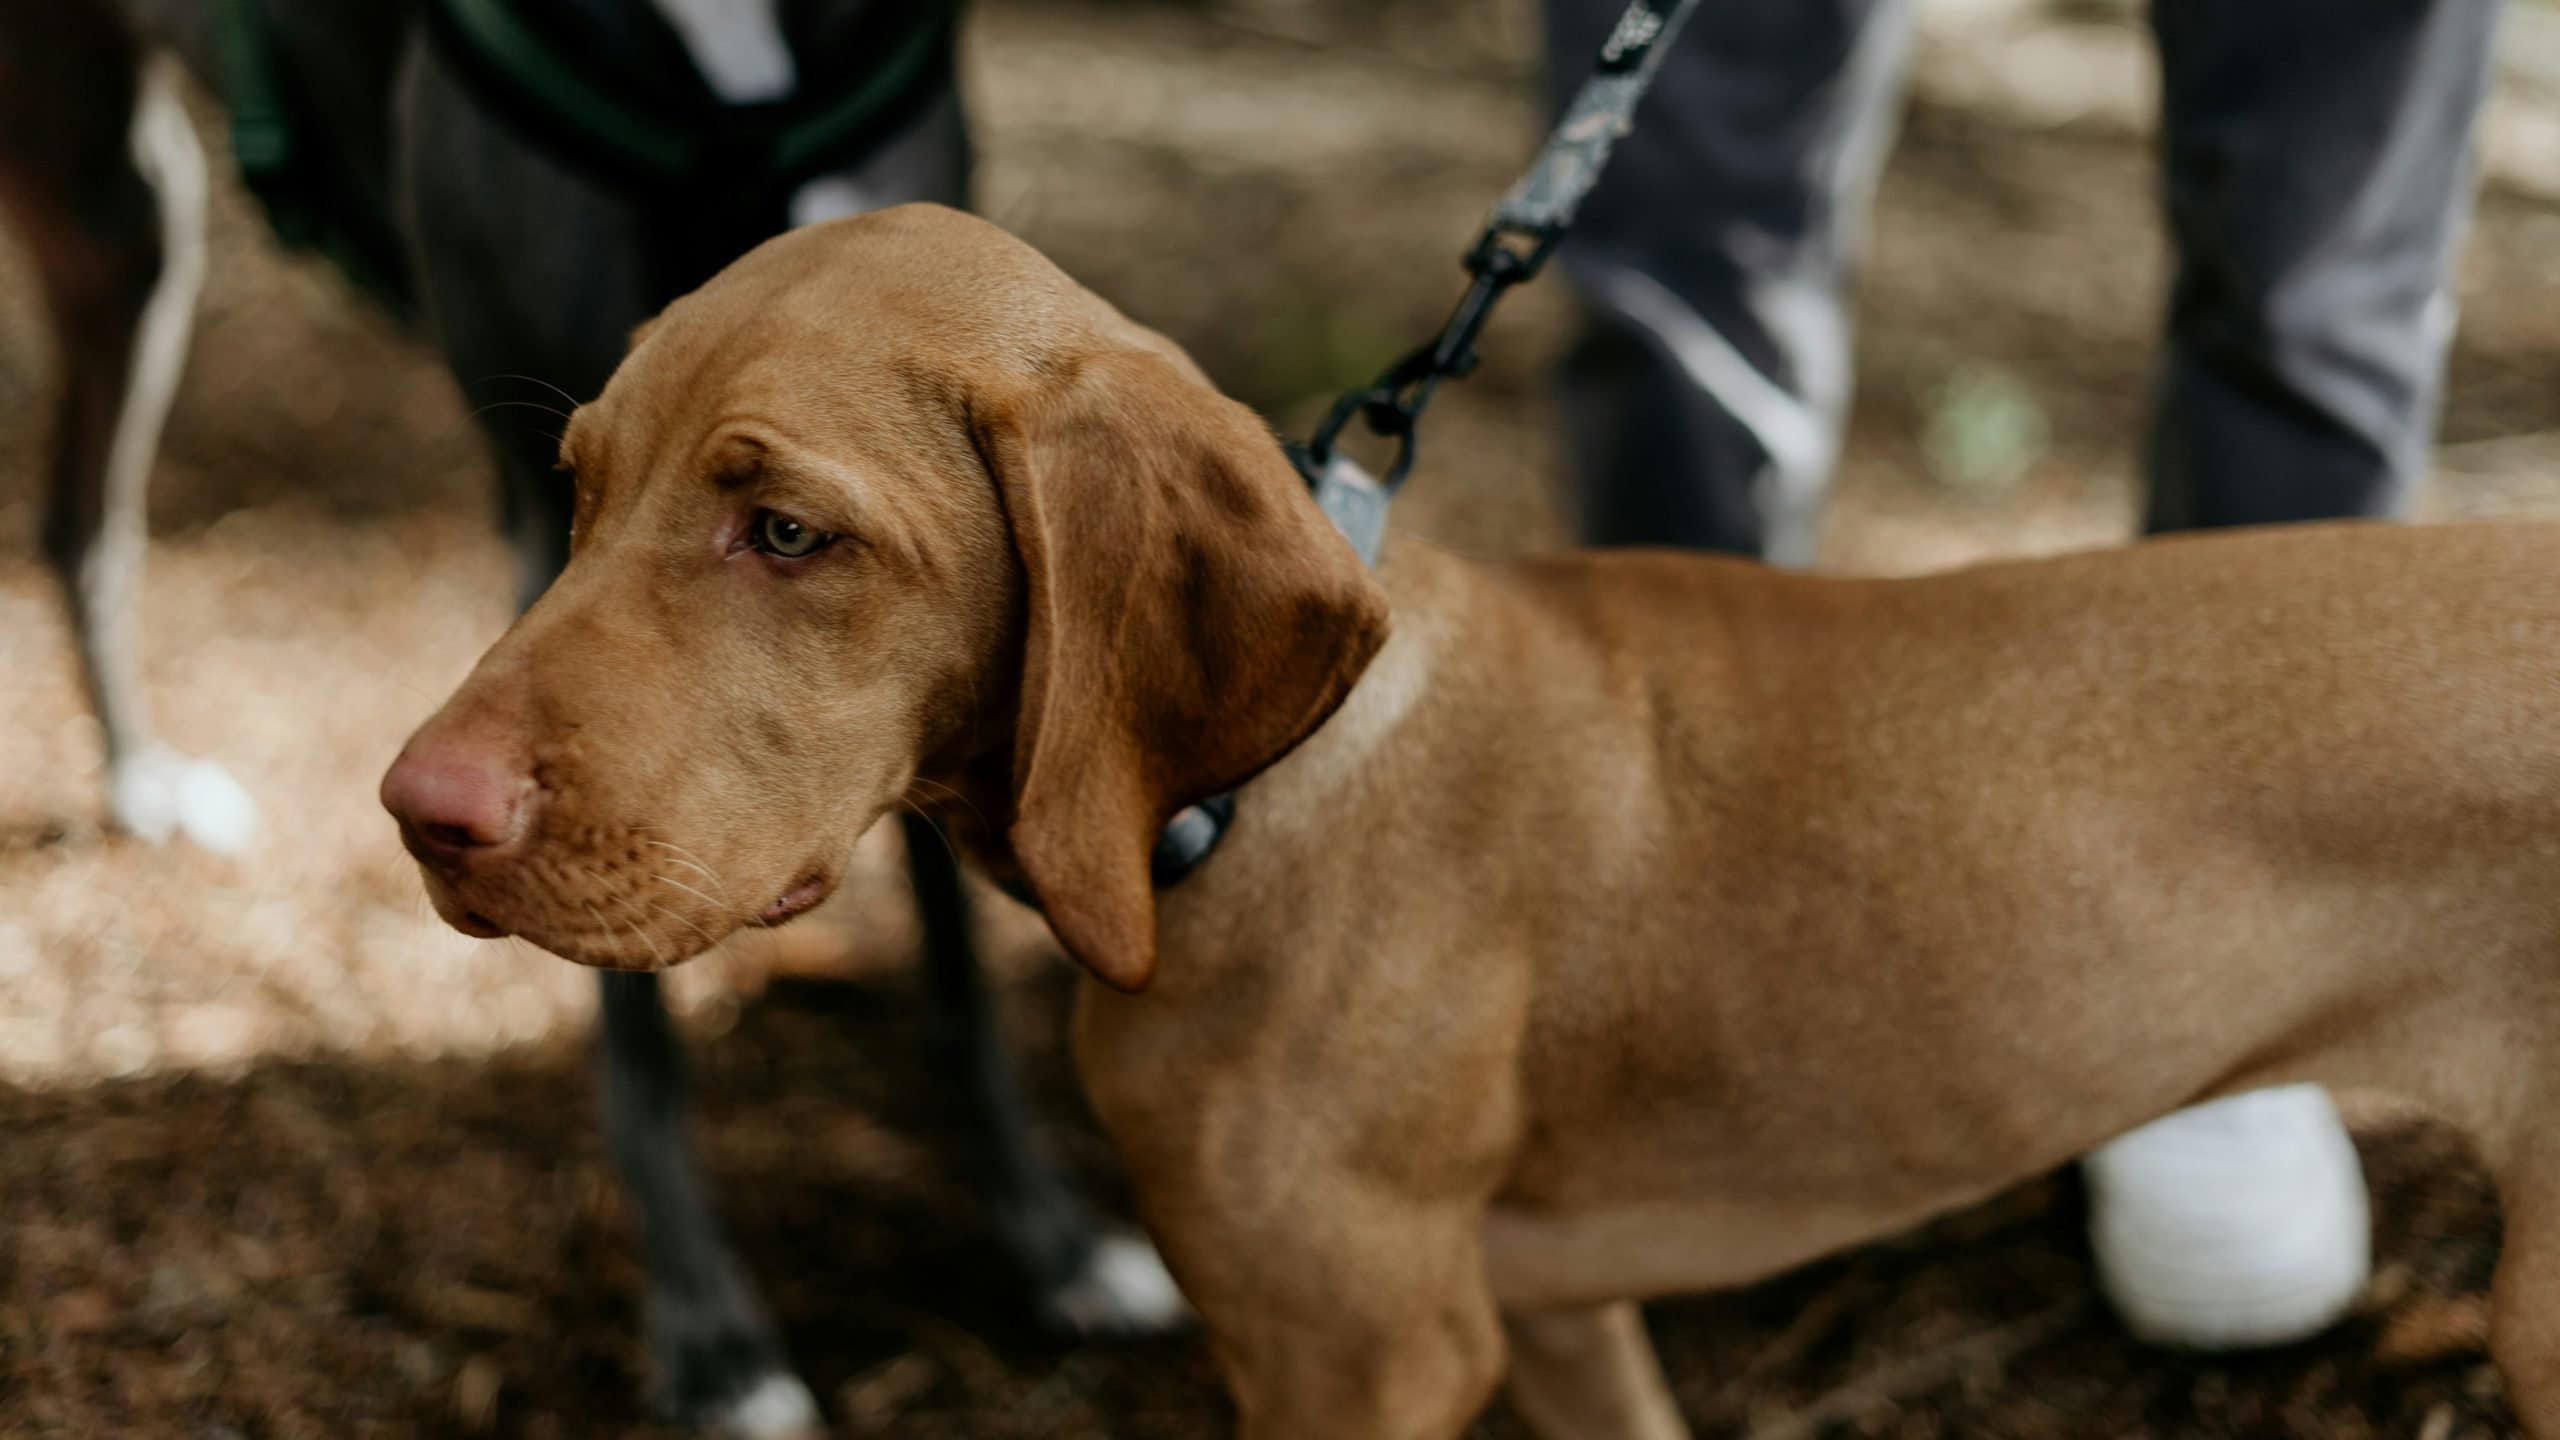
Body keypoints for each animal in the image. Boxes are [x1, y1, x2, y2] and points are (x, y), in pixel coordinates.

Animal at [378, 204, 2560, 1434]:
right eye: (573, 494)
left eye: (787, 531)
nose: (417, 811)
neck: (1236, 809)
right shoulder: (1555, 1317)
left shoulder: (1352, 1356)